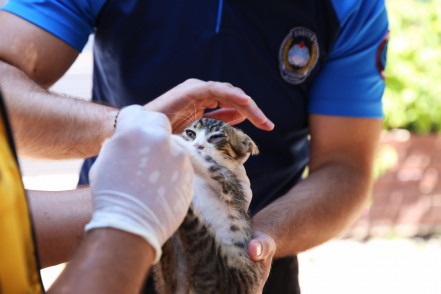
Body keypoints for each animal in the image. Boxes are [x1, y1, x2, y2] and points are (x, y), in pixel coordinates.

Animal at [153, 117, 262, 294]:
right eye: (191, 133)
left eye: (216, 137)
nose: (197, 145)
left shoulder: (229, 185)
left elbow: (210, 163)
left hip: (212, 262)